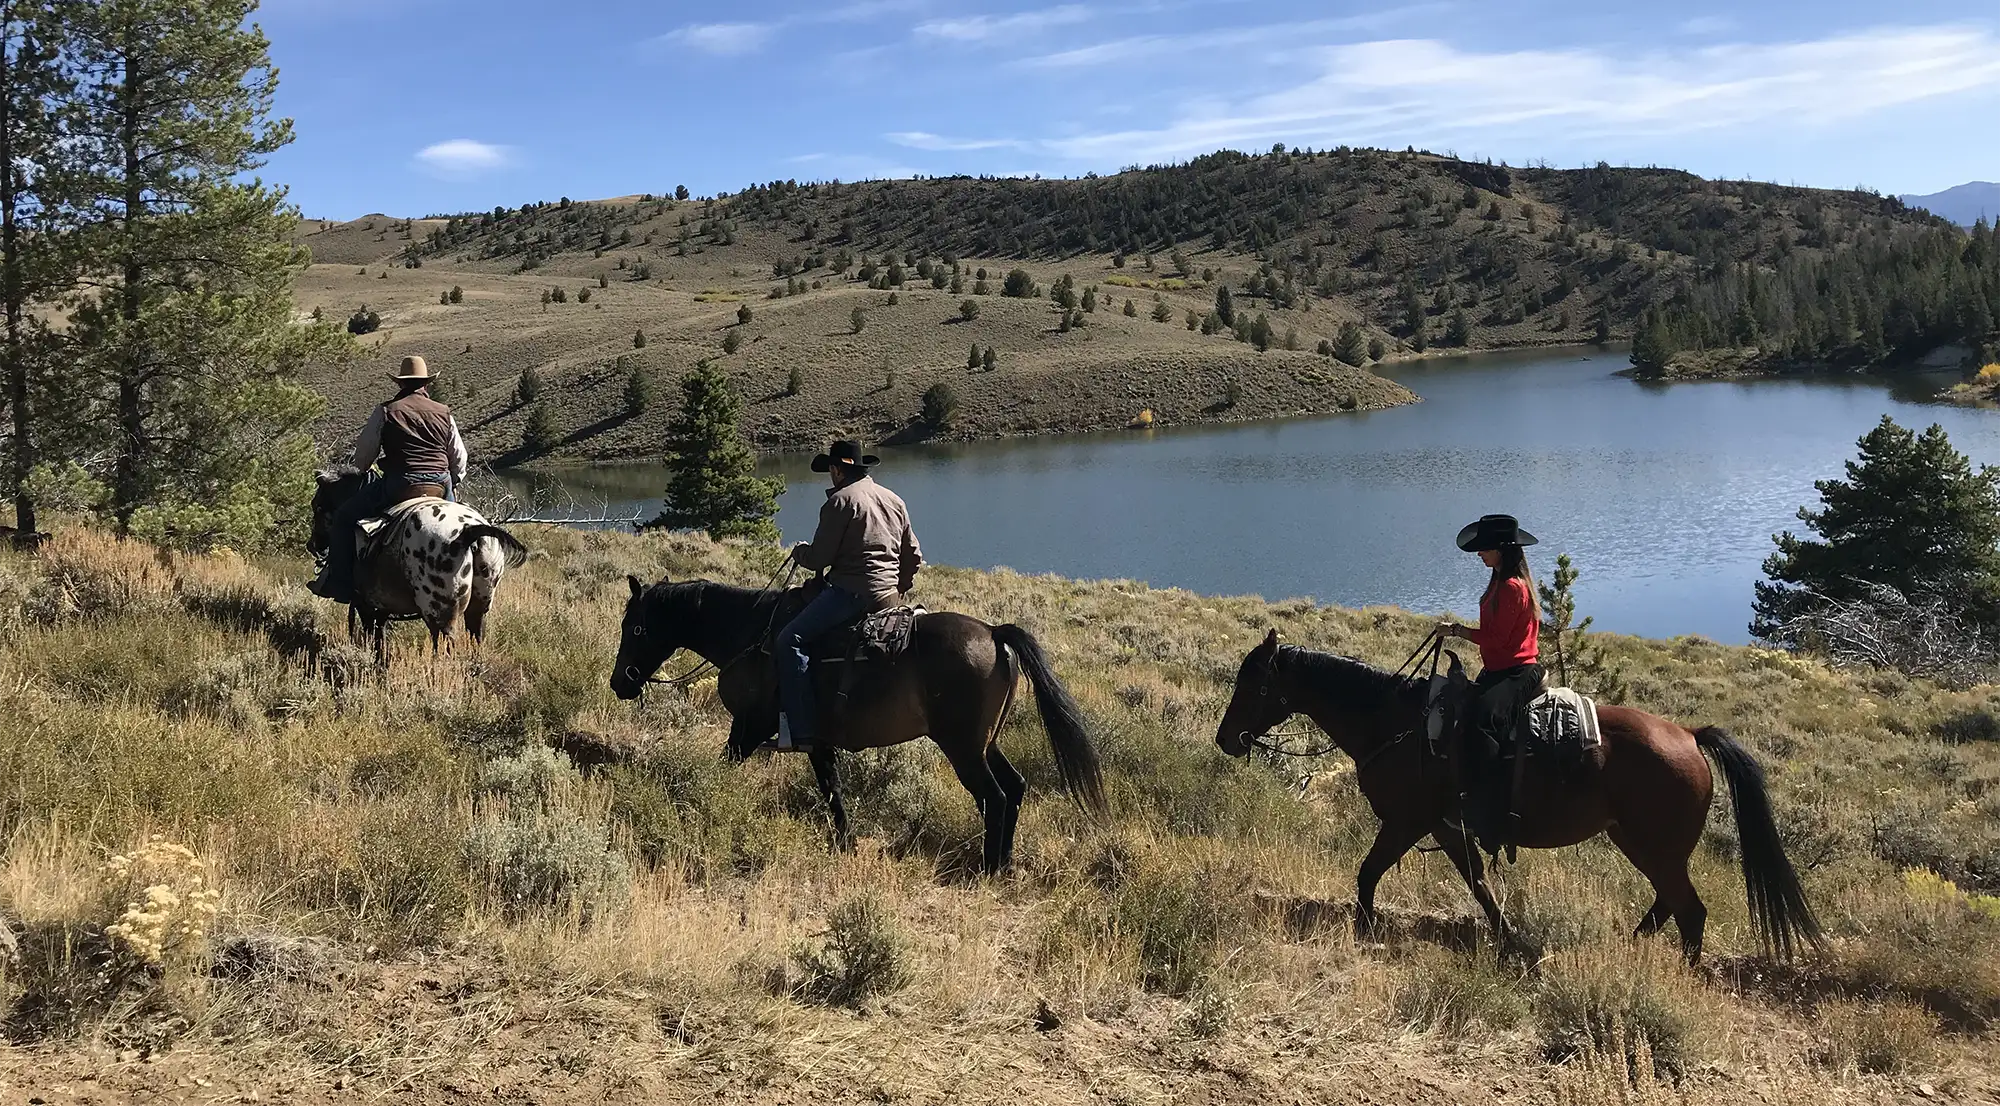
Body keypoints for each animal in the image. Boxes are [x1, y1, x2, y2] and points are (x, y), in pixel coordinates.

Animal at [306, 464, 532, 656]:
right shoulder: (381, 608)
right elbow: (380, 639)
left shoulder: (365, 606)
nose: (312, 545)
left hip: (439, 615)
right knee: (476, 638)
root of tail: (469, 531)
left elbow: (374, 640)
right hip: (479, 607)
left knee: (446, 647)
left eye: (317, 506)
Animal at [608, 572, 1112, 876]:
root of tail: (993, 634)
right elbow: (832, 791)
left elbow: (726, 765)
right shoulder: (816, 743)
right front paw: (846, 843)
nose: (620, 683)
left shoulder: (749, 727)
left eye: (635, 627)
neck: (751, 635)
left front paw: (701, 802)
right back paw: (1004, 862)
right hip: (985, 744)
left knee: (996, 795)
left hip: (963, 748)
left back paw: (990, 867)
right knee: (1015, 787)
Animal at [1208, 624, 1824, 960]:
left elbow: (1368, 872)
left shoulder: (1407, 821)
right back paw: (1625, 947)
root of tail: (1692, 737)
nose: (1226, 739)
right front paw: (1511, 937)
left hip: (1655, 847)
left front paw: (1365, 929)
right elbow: (1478, 881)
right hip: (1642, 844)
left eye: (1251, 683)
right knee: (1667, 905)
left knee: (1689, 912)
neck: (1394, 723)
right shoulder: (1443, 825)